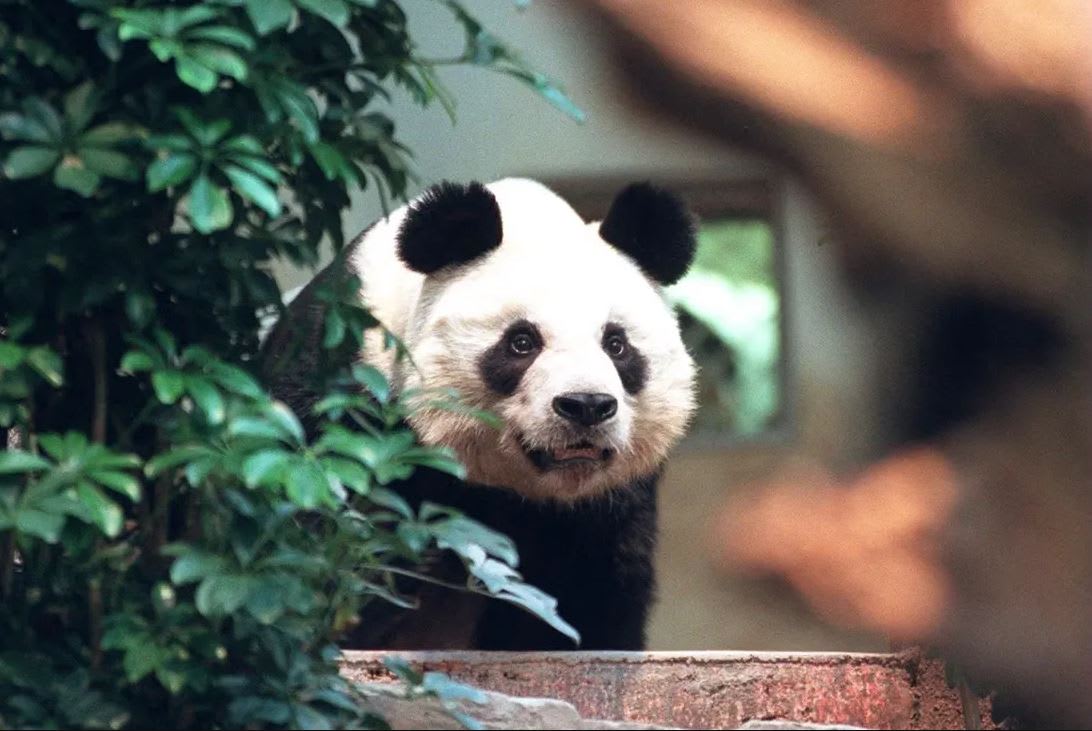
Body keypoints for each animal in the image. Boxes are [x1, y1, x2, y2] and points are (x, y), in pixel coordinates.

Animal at [262, 178, 698, 650]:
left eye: (616, 345)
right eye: (522, 342)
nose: (586, 405)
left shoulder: (606, 501)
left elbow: (594, 584)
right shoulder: (343, 367)